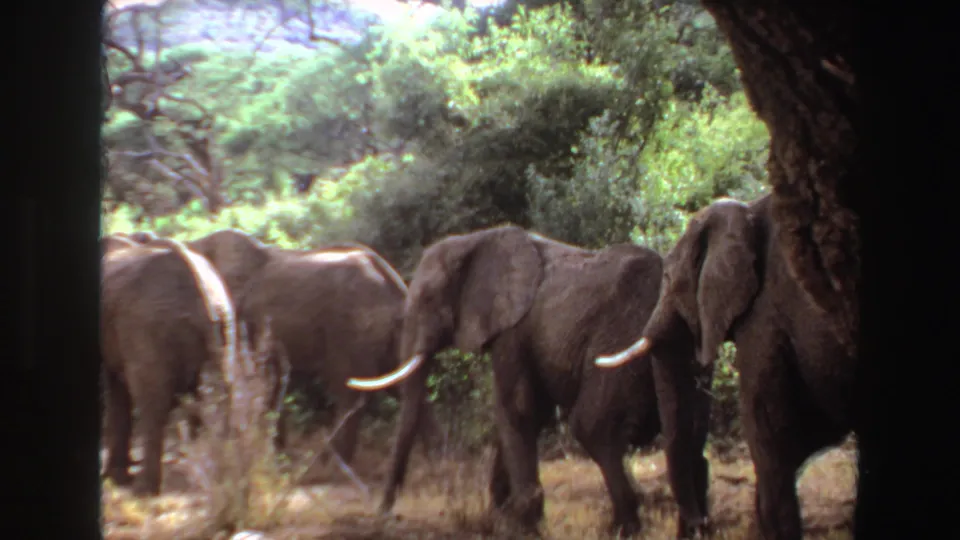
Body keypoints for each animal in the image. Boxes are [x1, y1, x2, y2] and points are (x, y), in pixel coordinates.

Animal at [100, 235, 237, 496]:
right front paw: (116, 477)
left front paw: (115, 479)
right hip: (223, 328)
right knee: (221, 394)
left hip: (147, 327)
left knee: (153, 403)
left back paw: (144, 490)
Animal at [186, 229, 442, 466]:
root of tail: (394, 281)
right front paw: (277, 457)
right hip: (391, 332)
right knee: (405, 387)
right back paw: (436, 462)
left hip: (352, 327)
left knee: (350, 392)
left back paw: (332, 466)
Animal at [346, 224, 713, 538]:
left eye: (426, 300)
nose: (385, 513)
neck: (476, 239)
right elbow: (520, 415)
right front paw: (498, 515)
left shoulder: (514, 330)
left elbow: (520, 408)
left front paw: (523, 525)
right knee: (690, 437)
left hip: (620, 343)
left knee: (593, 427)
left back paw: (624, 529)